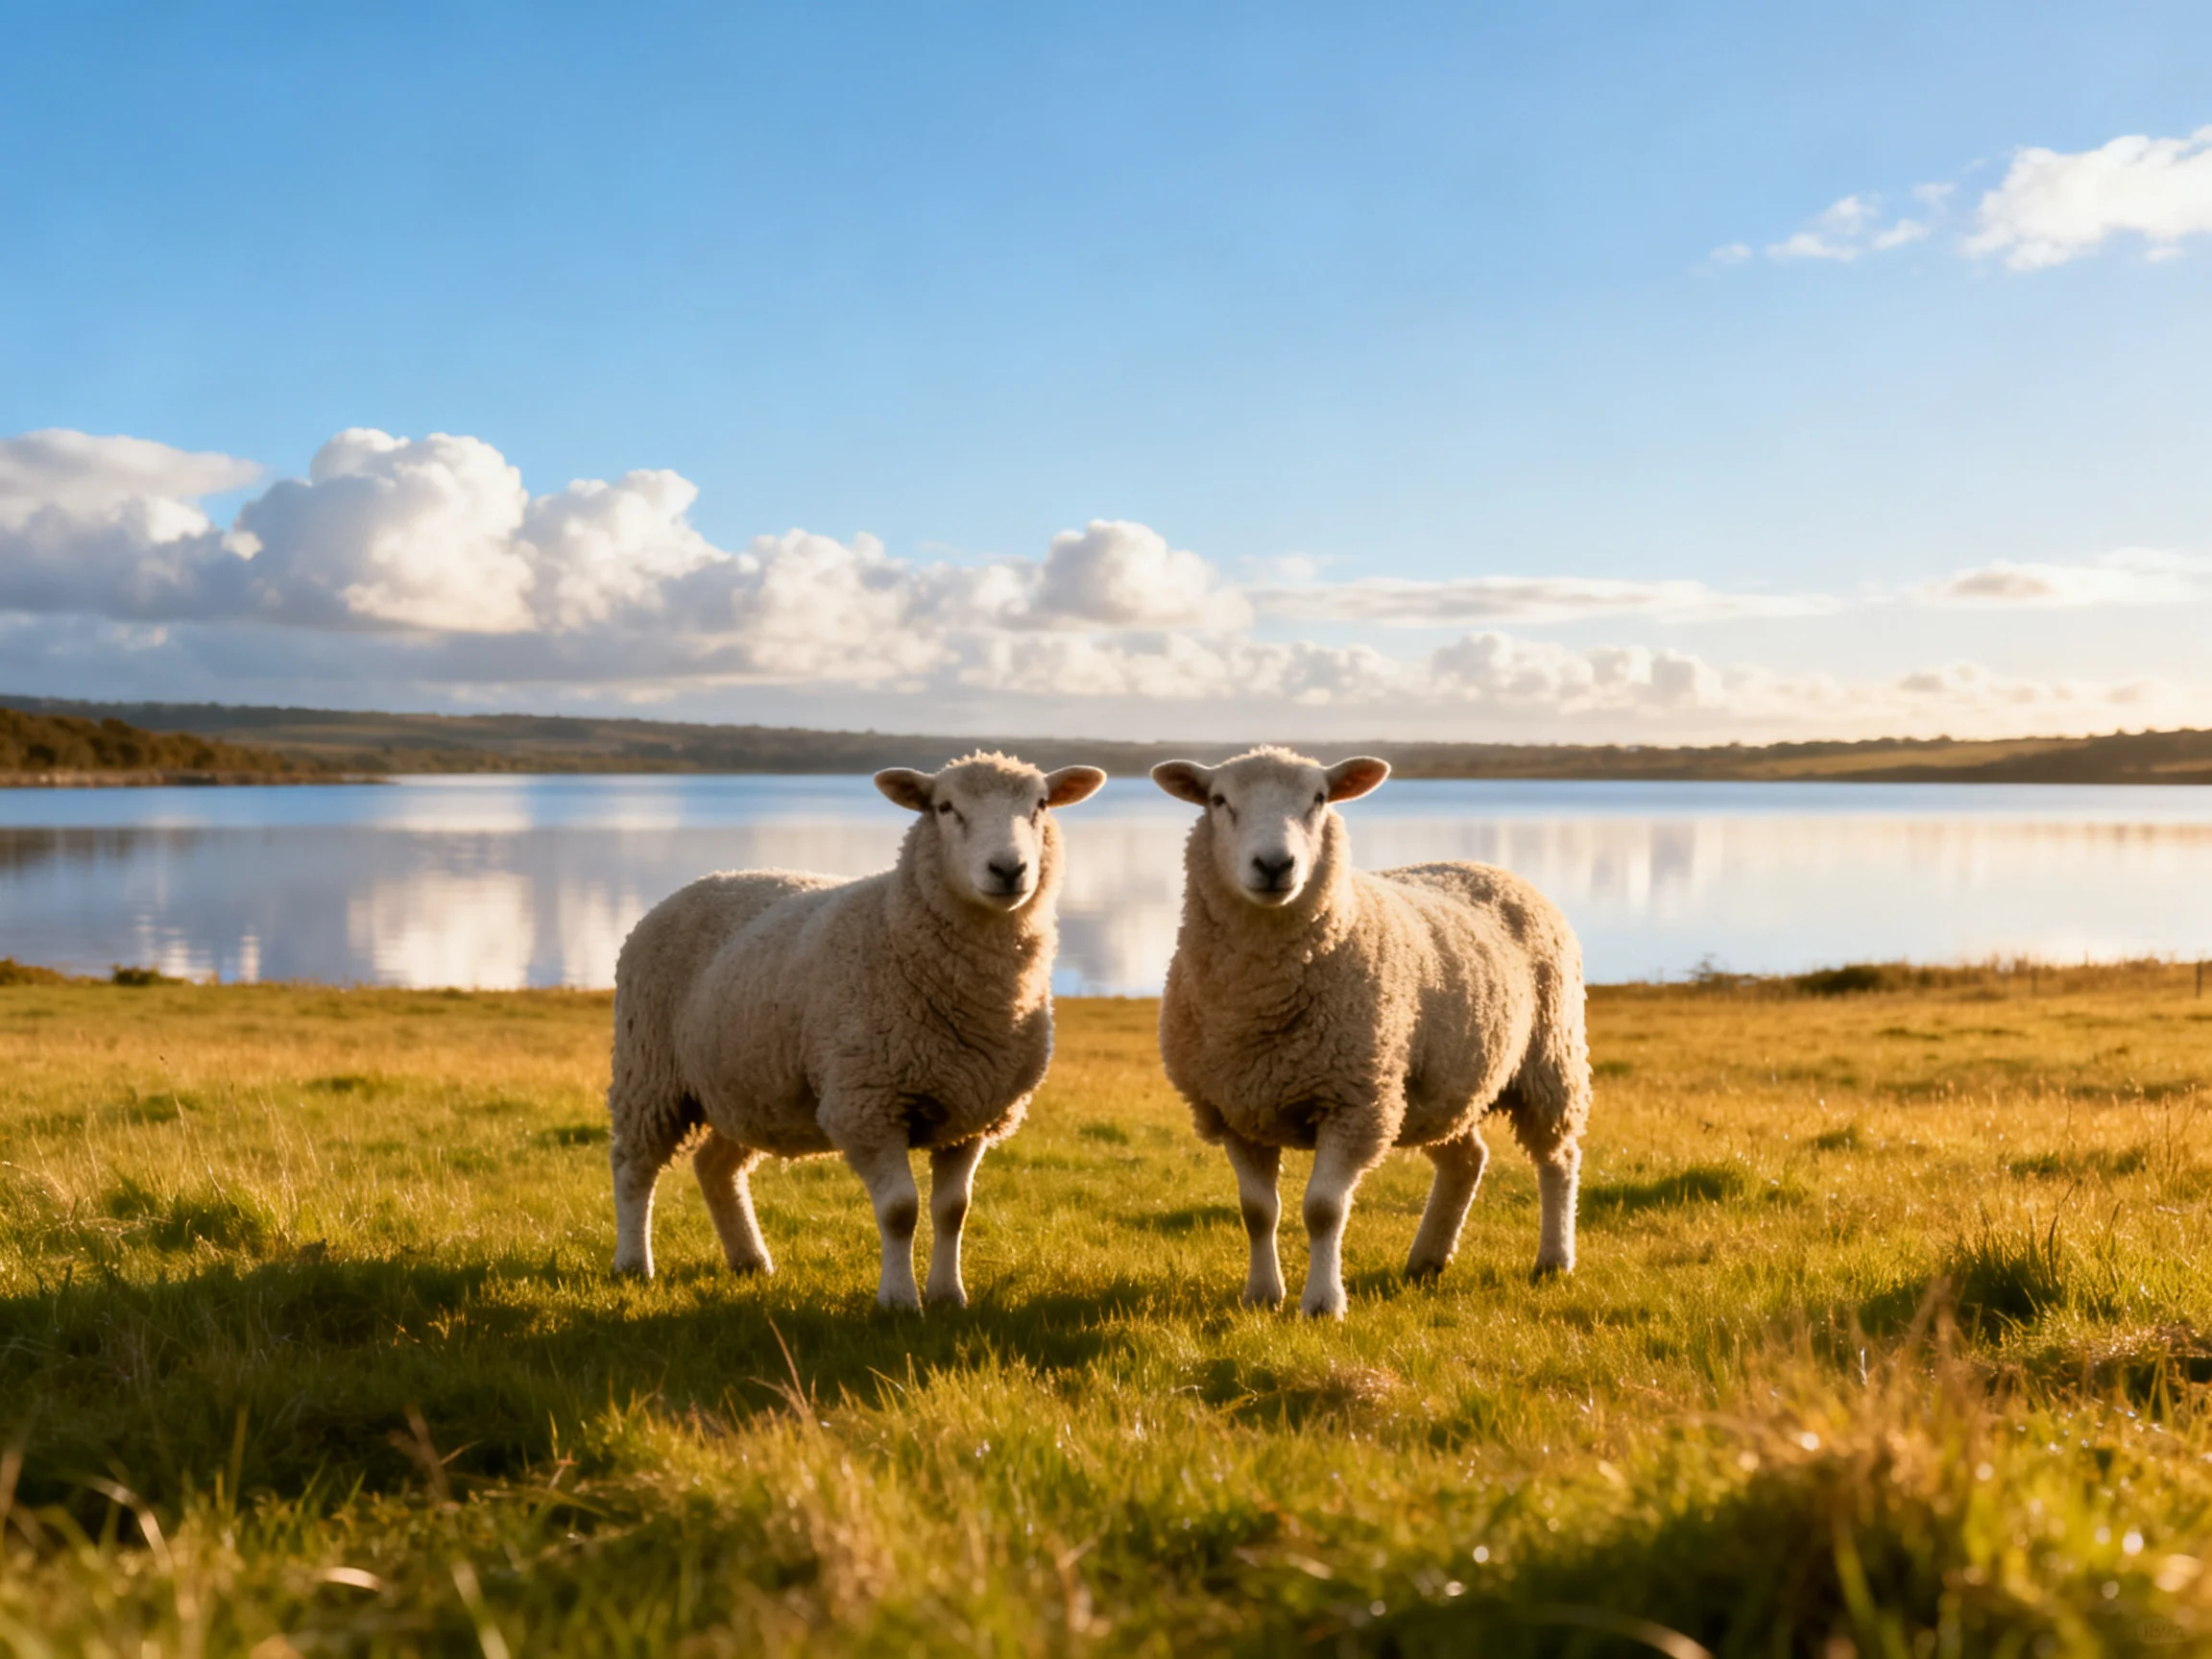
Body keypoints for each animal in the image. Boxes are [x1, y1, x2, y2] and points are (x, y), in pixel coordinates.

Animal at [607, 752, 1107, 1308]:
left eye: (1040, 805)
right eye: (944, 807)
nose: (1008, 869)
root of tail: (703, 879)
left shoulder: (971, 1112)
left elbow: (953, 1210)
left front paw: (947, 1295)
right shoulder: (868, 1104)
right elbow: (900, 1210)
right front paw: (898, 1301)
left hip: (748, 1087)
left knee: (716, 1165)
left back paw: (751, 1260)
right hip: (649, 1070)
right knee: (632, 1166)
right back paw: (633, 1264)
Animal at [1151, 746, 1590, 1318]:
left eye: (1319, 799)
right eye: (1219, 800)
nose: (1274, 865)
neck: (1261, 1001)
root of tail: (1490, 867)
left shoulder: (1353, 1104)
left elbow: (1322, 1210)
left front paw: (1322, 1304)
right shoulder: (1236, 1110)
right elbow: (1257, 1211)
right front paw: (1262, 1296)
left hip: (1549, 1059)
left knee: (1558, 1159)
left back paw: (1554, 1259)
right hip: (1435, 1091)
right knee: (1467, 1159)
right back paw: (1427, 1259)